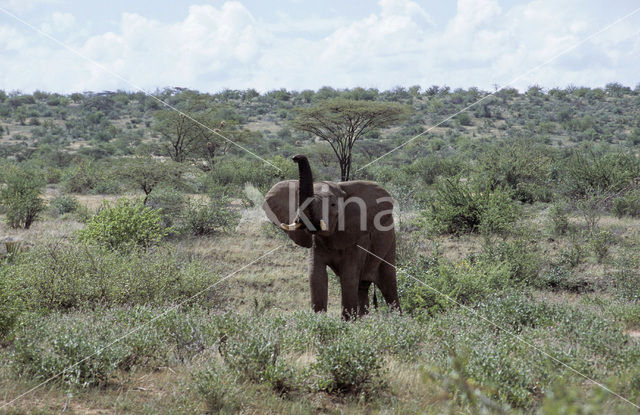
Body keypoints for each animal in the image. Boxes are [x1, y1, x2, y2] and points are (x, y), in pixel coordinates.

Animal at [262, 154, 400, 320]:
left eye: (333, 205)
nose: (295, 157)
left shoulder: (356, 237)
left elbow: (348, 277)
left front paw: (347, 323)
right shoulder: (316, 242)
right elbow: (316, 276)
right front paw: (319, 320)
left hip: (389, 240)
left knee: (388, 284)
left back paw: (399, 319)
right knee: (362, 287)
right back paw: (364, 320)